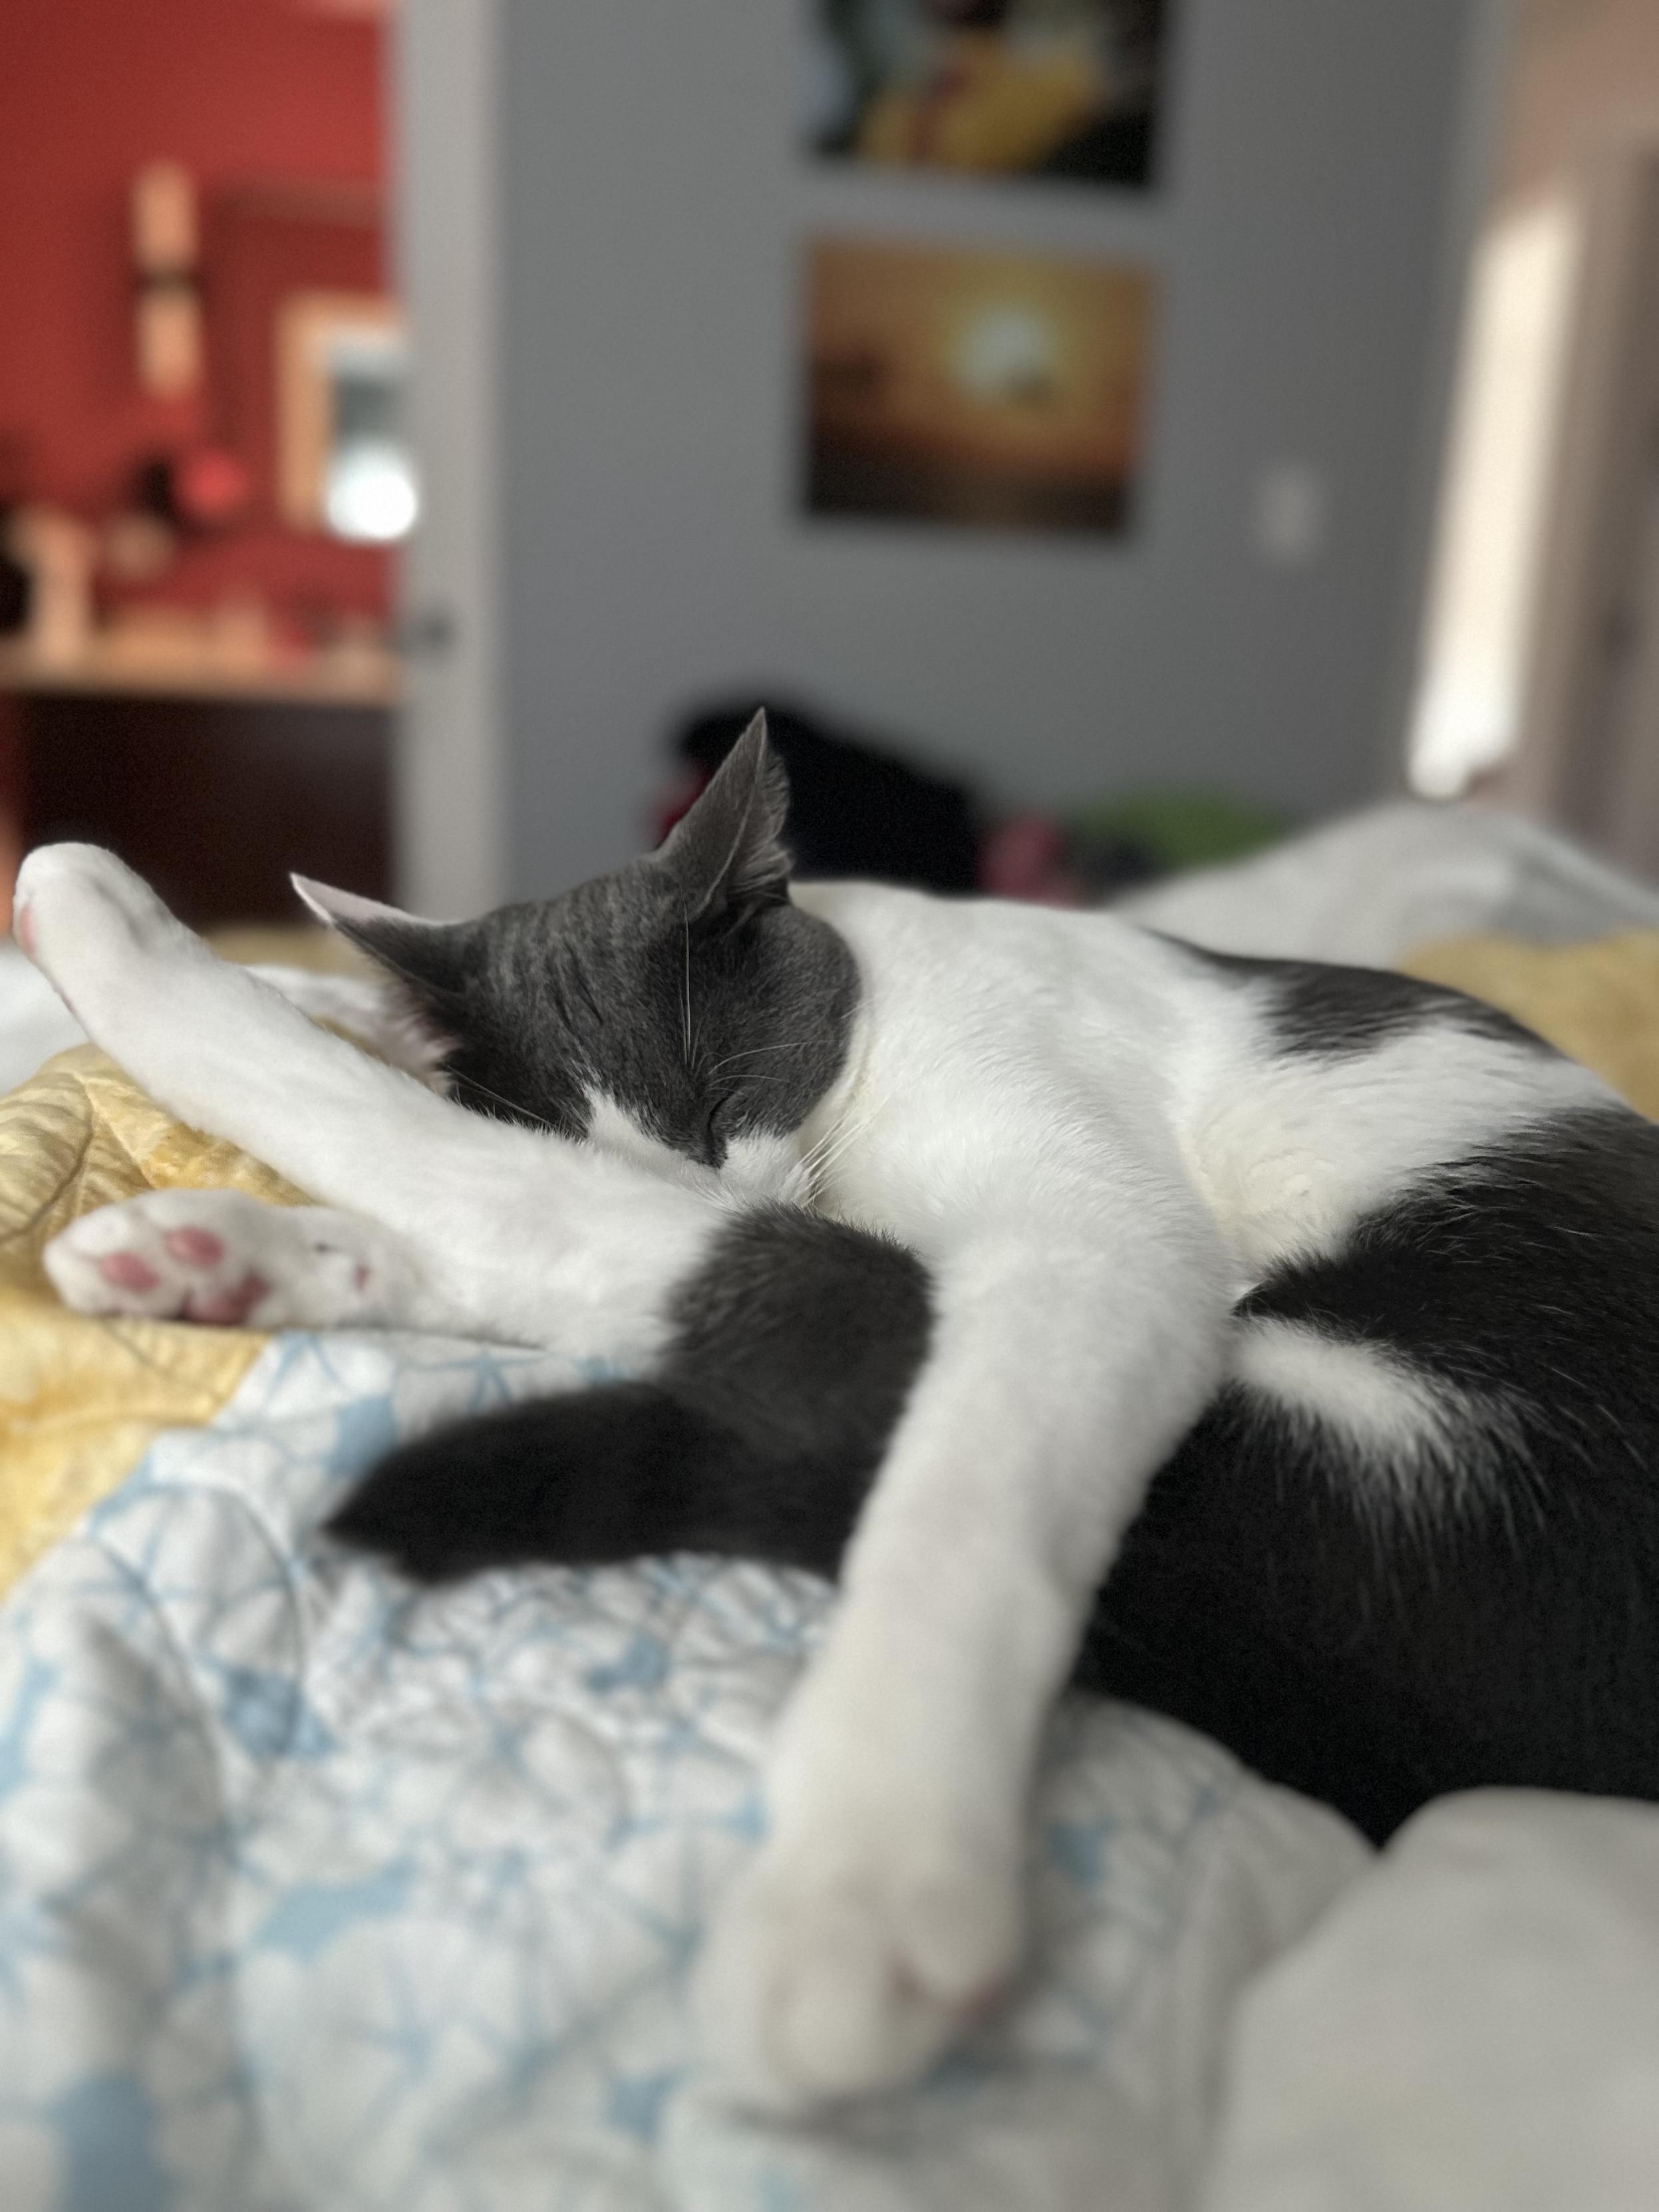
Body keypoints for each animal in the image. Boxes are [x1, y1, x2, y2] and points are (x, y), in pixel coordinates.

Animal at [19, 720, 1659, 2106]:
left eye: (716, 1095)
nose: (690, 1171)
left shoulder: (1090, 1244)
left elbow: (956, 1502)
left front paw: (863, 1886)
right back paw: (212, 1247)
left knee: (605, 1236)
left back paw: (116, 943)